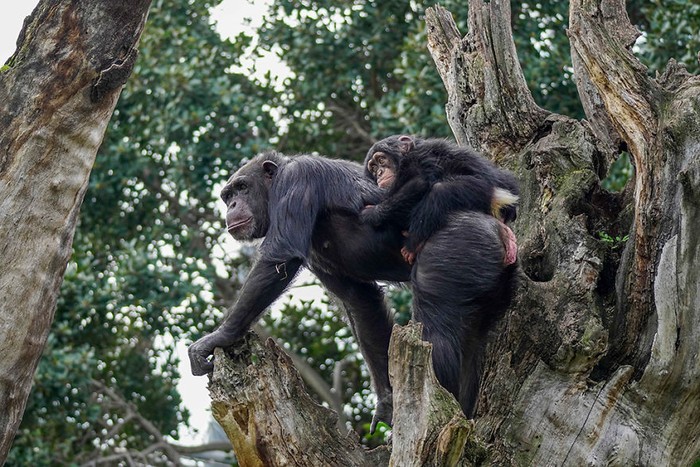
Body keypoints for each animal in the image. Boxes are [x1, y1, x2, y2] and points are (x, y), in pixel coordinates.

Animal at [189, 151, 516, 432]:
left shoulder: (298, 179)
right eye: (227, 195)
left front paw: (216, 339)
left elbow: (278, 259)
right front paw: (387, 404)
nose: (232, 206)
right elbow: (360, 301)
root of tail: (500, 230)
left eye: (242, 188)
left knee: (438, 330)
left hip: (458, 244)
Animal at [360, 135, 520, 266]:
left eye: (381, 160)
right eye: (373, 168)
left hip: (483, 191)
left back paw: (414, 242)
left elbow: (419, 182)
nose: (379, 173)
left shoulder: (416, 159)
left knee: (440, 190)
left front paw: (372, 213)